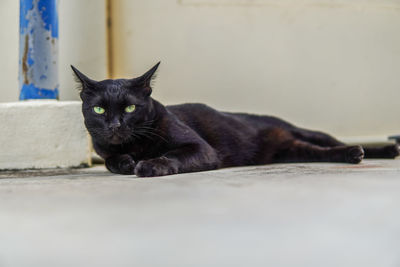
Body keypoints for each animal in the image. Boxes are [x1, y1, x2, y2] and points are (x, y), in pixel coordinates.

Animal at [70, 62, 398, 178]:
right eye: (99, 110)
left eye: (129, 108)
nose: (115, 126)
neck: (136, 145)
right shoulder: (104, 150)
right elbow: (112, 161)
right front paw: (126, 162)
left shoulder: (200, 149)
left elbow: (172, 155)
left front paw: (151, 165)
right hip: (294, 150)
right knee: (323, 152)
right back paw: (351, 154)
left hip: (307, 132)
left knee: (334, 141)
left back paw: (374, 150)